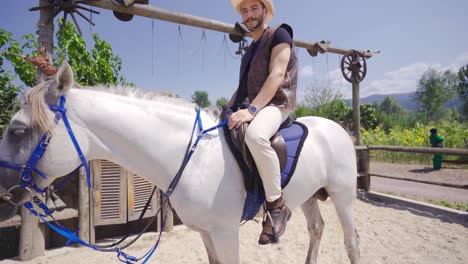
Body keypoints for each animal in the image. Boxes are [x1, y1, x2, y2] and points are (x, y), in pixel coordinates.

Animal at [0, 62, 360, 262]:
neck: (193, 160)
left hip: (342, 197)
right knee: (316, 230)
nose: (3, 195)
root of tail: (338, 129)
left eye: (18, 130)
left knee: (351, 243)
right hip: (310, 196)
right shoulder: (206, 233)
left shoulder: (225, 232)